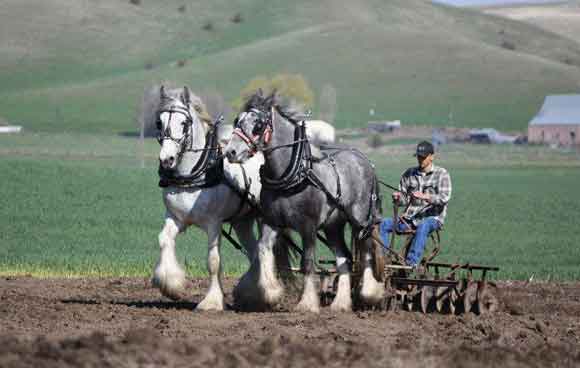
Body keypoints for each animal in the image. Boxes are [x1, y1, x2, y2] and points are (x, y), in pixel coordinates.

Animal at [225, 90, 386, 312]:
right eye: (237, 121)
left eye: (258, 125)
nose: (230, 152)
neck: (292, 173)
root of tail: (364, 161)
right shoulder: (271, 221)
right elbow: (263, 249)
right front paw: (269, 293)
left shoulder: (308, 226)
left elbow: (307, 262)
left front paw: (307, 303)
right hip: (333, 226)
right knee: (344, 257)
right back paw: (340, 303)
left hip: (361, 220)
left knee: (367, 250)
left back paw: (370, 293)